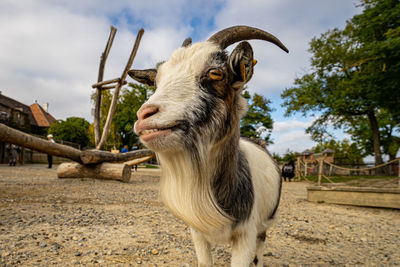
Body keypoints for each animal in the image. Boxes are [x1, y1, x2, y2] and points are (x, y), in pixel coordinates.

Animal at [130, 25, 290, 267]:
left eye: (216, 73)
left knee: (261, 247)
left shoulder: (246, 235)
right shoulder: (197, 232)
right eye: (157, 82)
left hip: (266, 222)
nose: (144, 115)